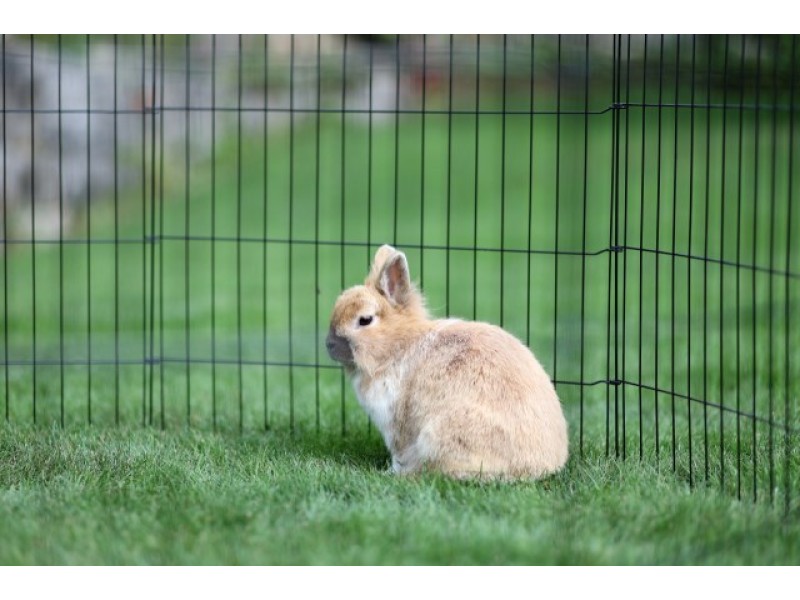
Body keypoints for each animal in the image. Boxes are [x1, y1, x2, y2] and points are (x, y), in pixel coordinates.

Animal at [326, 244, 568, 480]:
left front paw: (393, 472)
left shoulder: (396, 425)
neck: (398, 346)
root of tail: (542, 466)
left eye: (365, 320)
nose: (329, 344)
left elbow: (399, 453)